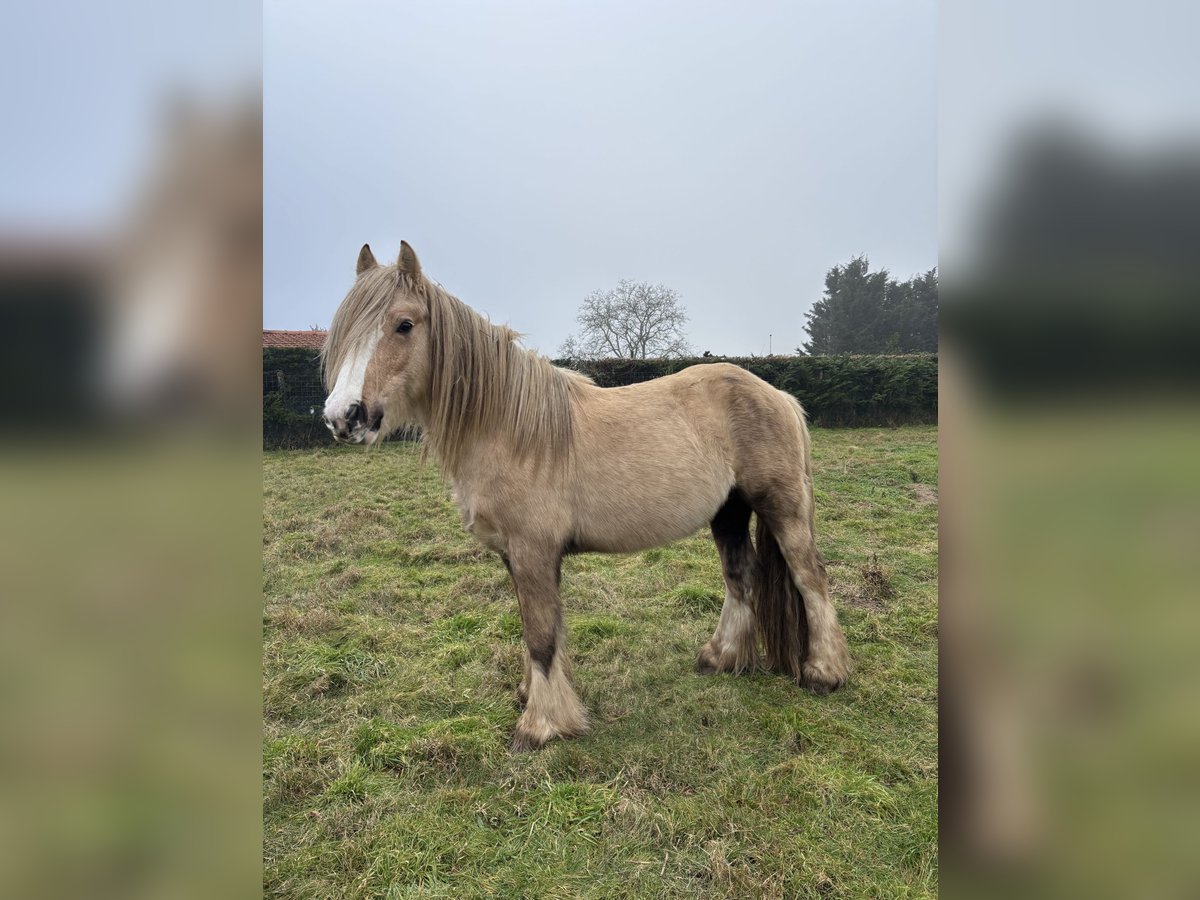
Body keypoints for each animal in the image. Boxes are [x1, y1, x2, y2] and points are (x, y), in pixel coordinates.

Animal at [326, 243, 854, 748]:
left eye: (404, 324)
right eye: (345, 328)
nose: (343, 416)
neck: (510, 429)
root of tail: (778, 396)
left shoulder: (533, 551)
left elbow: (540, 635)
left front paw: (540, 726)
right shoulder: (518, 556)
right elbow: (540, 631)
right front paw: (532, 697)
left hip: (781, 506)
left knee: (811, 577)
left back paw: (823, 673)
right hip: (728, 512)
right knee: (740, 578)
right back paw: (719, 658)